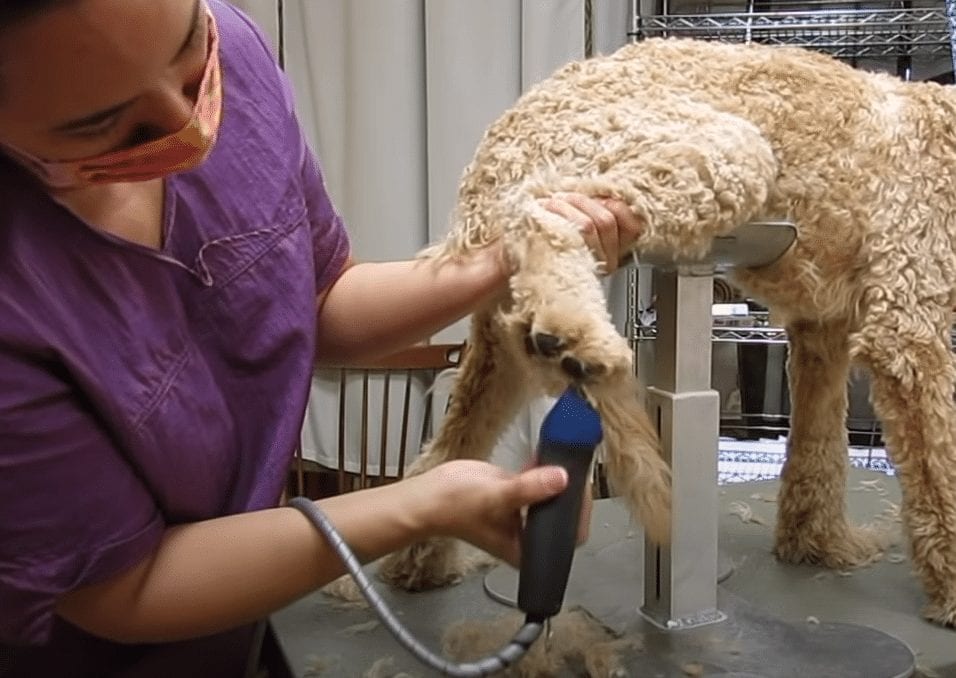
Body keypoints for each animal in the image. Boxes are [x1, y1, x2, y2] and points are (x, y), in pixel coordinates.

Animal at [378, 37, 956, 628]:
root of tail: (495, 149)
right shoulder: (909, 328)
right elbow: (940, 462)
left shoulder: (822, 330)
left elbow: (820, 448)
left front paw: (818, 543)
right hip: (717, 150)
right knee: (543, 212)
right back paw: (576, 337)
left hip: (497, 338)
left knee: (454, 441)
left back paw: (421, 561)